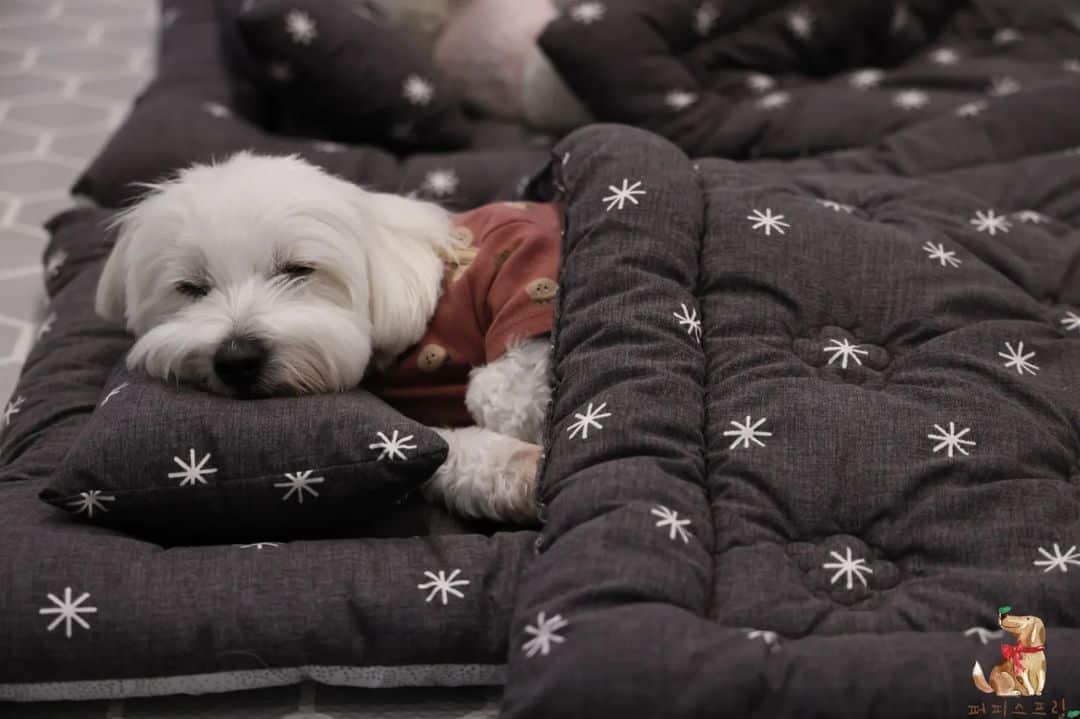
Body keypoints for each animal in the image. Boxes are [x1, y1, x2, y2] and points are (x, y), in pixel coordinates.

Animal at [95, 151, 548, 520]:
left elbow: (510, 372)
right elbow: (450, 447)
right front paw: (519, 471)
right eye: (190, 288)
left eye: (299, 269)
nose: (237, 359)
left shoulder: (522, 254)